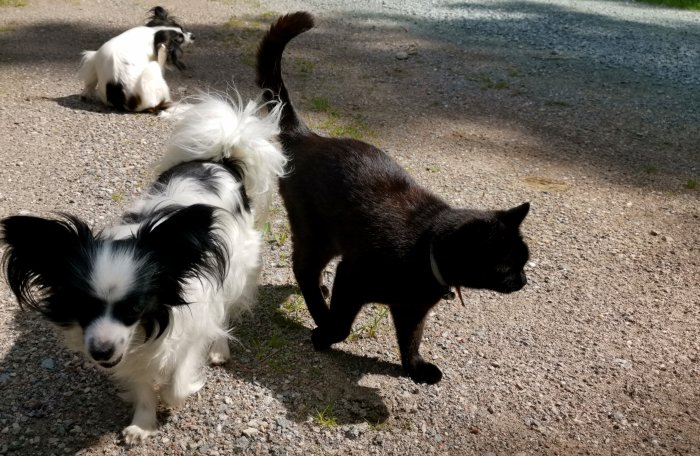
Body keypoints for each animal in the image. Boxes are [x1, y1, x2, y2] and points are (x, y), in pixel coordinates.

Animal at [0, 93, 284, 442]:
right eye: (82, 306)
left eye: (134, 309)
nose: (101, 352)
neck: (150, 326)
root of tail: (218, 161)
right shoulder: (130, 351)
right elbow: (141, 382)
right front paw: (143, 422)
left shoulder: (192, 324)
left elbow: (177, 382)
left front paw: (181, 391)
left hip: (238, 270)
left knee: (226, 310)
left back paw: (219, 347)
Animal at [258, 11, 532, 384]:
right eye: (507, 266)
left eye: (525, 261)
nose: (524, 281)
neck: (424, 251)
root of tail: (309, 136)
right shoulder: (352, 276)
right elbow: (343, 324)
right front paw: (324, 335)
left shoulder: (411, 308)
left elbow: (410, 340)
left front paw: (416, 368)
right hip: (316, 234)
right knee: (302, 268)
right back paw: (319, 311)